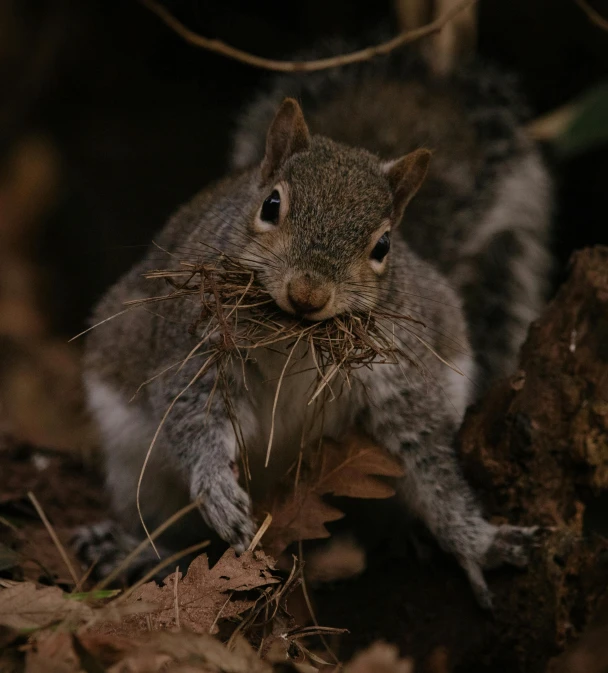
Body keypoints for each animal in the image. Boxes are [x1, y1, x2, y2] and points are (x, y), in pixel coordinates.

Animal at [73, 47, 552, 608]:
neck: (297, 339)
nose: (308, 293)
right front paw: (216, 486)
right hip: (139, 466)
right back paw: (135, 550)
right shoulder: (193, 347)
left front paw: (479, 545)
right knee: (171, 531)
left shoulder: (401, 379)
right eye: (271, 205)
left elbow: (431, 466)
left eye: (383, 245)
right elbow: (194, 414)